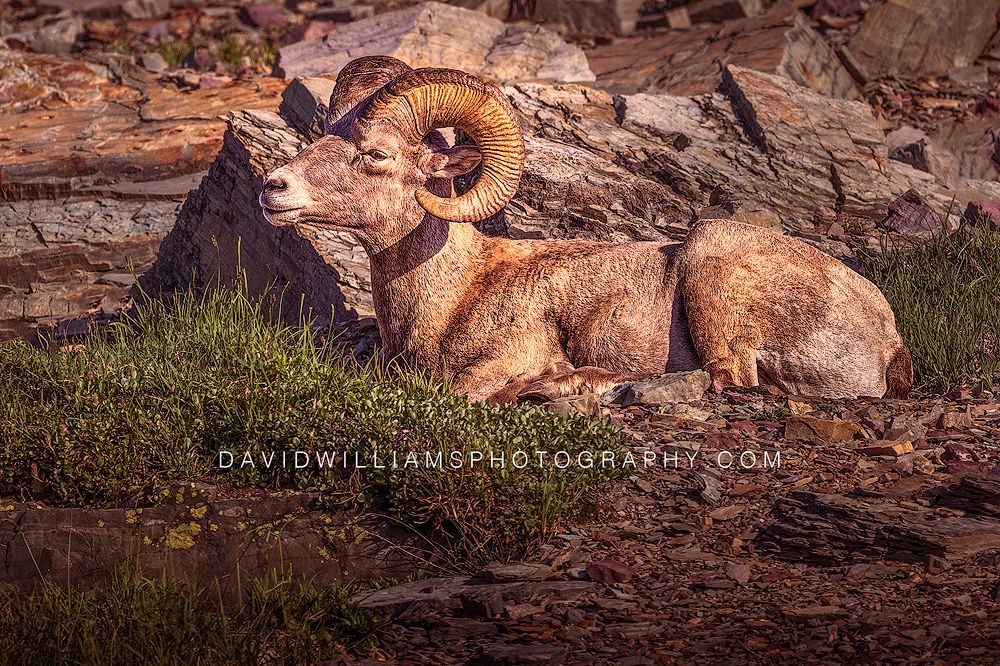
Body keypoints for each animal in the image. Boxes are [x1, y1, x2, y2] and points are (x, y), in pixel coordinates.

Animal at [259, 55, 912, 403]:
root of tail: (887, 339)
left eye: (375, 154)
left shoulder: (495, 364)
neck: (449, 295)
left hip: (713, 265)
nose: (273, 188)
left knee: (725, 379)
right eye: (323, 134)